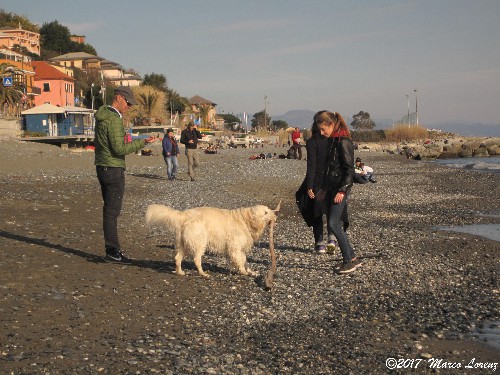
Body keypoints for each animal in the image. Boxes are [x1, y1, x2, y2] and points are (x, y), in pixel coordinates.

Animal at [145, 204, 280, 278]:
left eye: (268, 209)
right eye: (265, 212)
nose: (277, 213)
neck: (245, 220)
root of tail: (184, 215)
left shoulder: (240, 248)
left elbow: (245, 260)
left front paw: (250, 271)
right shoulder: (235, 247)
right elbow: (240, 261)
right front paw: (244, 272)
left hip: (183, 243)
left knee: (177, 258)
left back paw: (180, 272)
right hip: (199, 242)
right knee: (196, 259)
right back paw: (203, 273)